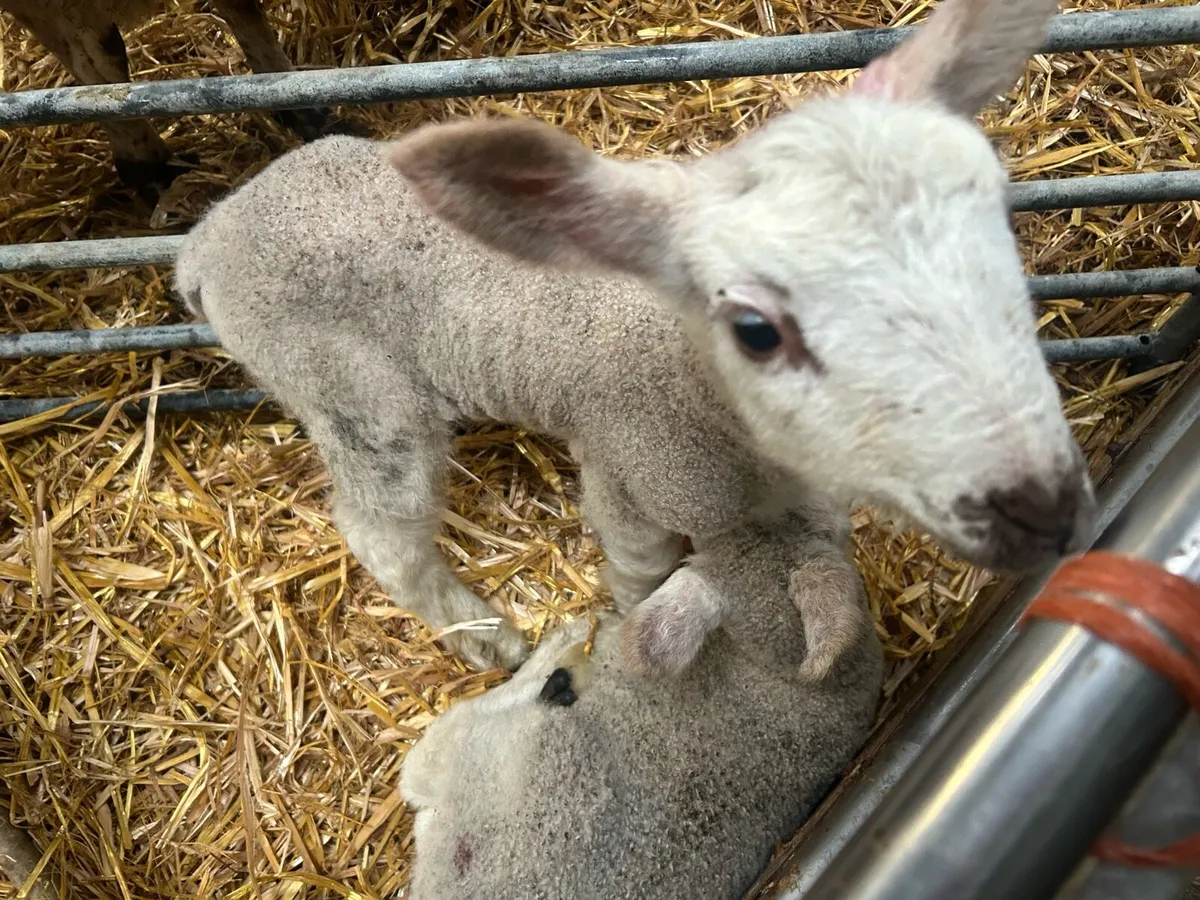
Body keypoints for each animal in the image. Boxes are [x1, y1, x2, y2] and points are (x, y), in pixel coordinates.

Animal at [173, 0, 1097, 676]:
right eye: (755, 331)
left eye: (999, 217)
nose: (1044, 509)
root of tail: (206, 240)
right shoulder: (630, 470)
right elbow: (639, 569)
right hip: (352, 395)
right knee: (384, 533)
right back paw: (485, 637)